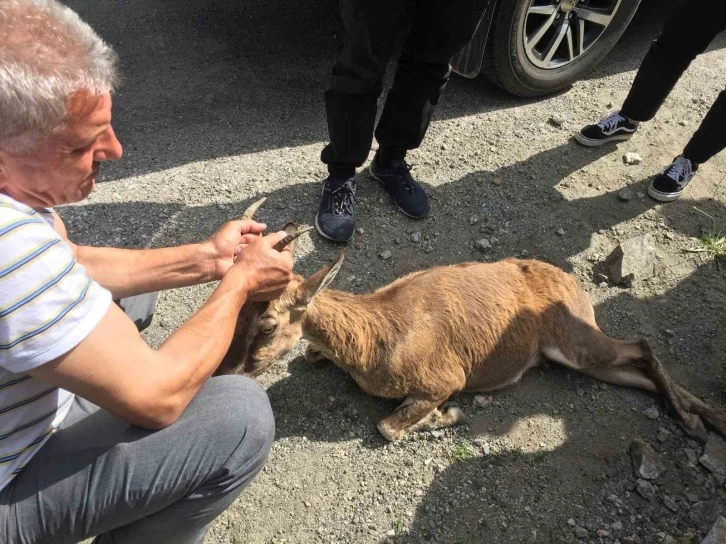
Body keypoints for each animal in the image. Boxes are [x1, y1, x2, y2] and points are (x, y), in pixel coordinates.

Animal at [219, 200, 726, 442]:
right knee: (635, 370)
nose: (231, 371)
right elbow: (308, 354)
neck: (374, 335)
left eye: (267, 324)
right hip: (574, 357)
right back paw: (706, 417)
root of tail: (573, 283)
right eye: (239, 308)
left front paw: (447, 416)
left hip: (576, 341)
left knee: (641, 346)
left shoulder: (443, 377)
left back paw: (692, 417)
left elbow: (387, 427)